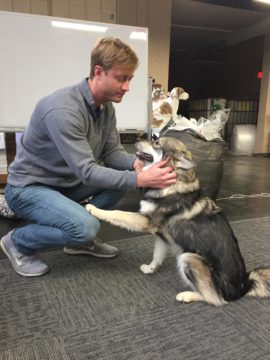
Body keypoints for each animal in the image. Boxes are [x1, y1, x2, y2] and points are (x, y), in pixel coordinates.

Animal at [86, 136, 270, 306]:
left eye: (157, 143)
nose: (137, 138)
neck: (172, 182)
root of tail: (244, 286)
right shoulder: (162, 236)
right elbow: (157, 256)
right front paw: (150, 269)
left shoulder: (145, 221)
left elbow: (118, 213)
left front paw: (94, 209)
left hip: (188, 257)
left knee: (216, 299)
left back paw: (187, 295)